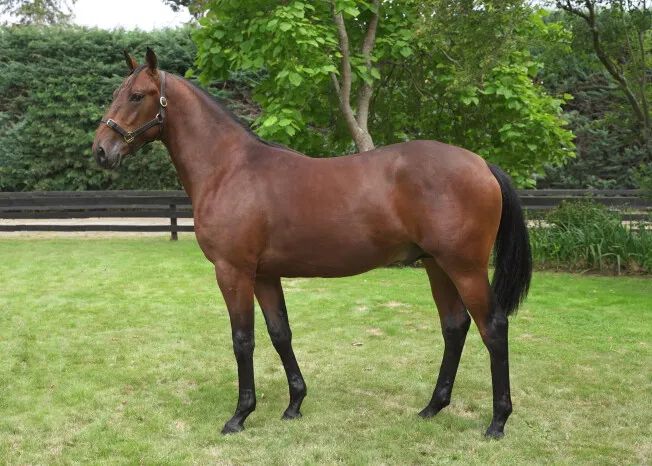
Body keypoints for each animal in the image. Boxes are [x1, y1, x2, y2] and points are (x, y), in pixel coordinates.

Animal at [92, 48, 532, 439]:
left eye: (137, 95)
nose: (100, 150)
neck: (229, 169)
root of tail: (481, 163)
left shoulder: (233, 272)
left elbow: (243, 340)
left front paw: (240, 416)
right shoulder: (265, 275)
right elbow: (279, 333)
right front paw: (294, 404)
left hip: (464, 268)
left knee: (492, 328)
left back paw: (497, 422)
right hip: (437, 265)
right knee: (455, 326)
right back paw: (432, 408)